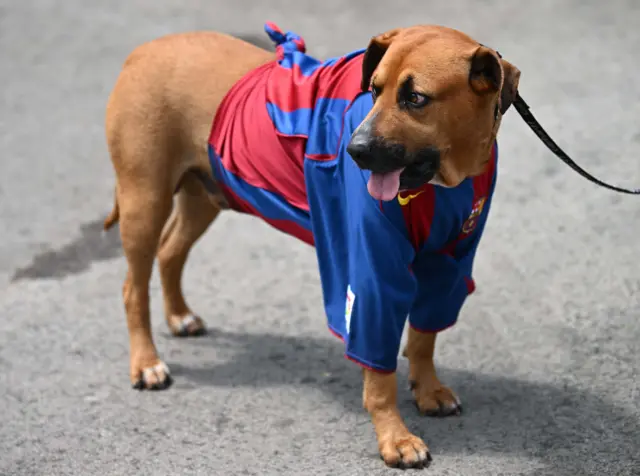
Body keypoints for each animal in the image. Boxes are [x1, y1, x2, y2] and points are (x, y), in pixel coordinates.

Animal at [104, 22, 520, 468]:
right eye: (374, 90)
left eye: (416, 98)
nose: (354, 151)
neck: (443, 183)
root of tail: (143, 51)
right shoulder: (371, 277)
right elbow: (379, 371)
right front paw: (395, 437)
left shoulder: (448, 263)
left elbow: (424, 338)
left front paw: (427, 389)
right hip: (144, 201)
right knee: (132, 288)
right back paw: (146, 362)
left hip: (204, 195)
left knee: (170, 253)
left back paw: (179, 316)